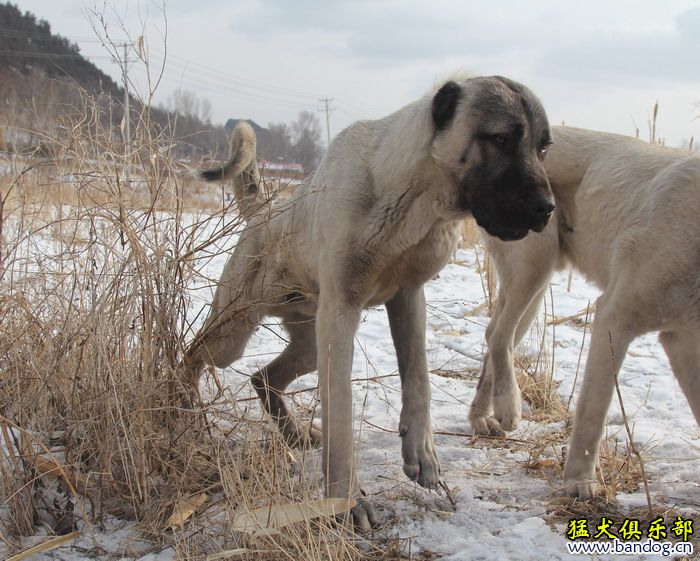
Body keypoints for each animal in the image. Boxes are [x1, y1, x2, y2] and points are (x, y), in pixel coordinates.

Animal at [183, 74, 556, 524]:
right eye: (500, 139)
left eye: (543, 147)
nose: (547, 208)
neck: (413, 199)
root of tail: (263, 211)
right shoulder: (341, 314)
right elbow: (341, 414)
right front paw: (346, 499)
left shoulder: (409, 299)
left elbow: (418, 380)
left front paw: (421, 451)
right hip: (234, 333)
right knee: (191, 357)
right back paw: (180, 408)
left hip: (309, 344)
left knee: (264, 377)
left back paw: (294, 432)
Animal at [468, 126, 700, 494]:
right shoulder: (614, 317)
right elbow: (594, 410)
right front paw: (580, 482)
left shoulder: (683, 340)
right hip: (534, 264)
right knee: (500, 335)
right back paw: (508, 405)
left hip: (534, 285)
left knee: (496, 334)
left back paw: (481, 417)